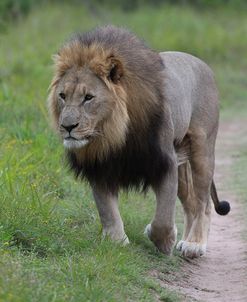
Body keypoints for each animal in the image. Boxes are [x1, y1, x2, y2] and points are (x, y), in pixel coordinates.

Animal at [47, 25, 230, 260]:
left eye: (88, 97)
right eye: (62, 96)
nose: (67, 126)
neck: (116, 133)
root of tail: (203, 64)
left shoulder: (165, 162)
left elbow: (163, 217)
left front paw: (163, 241)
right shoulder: (100, 165)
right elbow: (107, 210)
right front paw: (116, 241)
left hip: (202, 149)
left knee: (203, 203)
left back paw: (194, 244)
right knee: (190, 203)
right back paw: (186, 240)